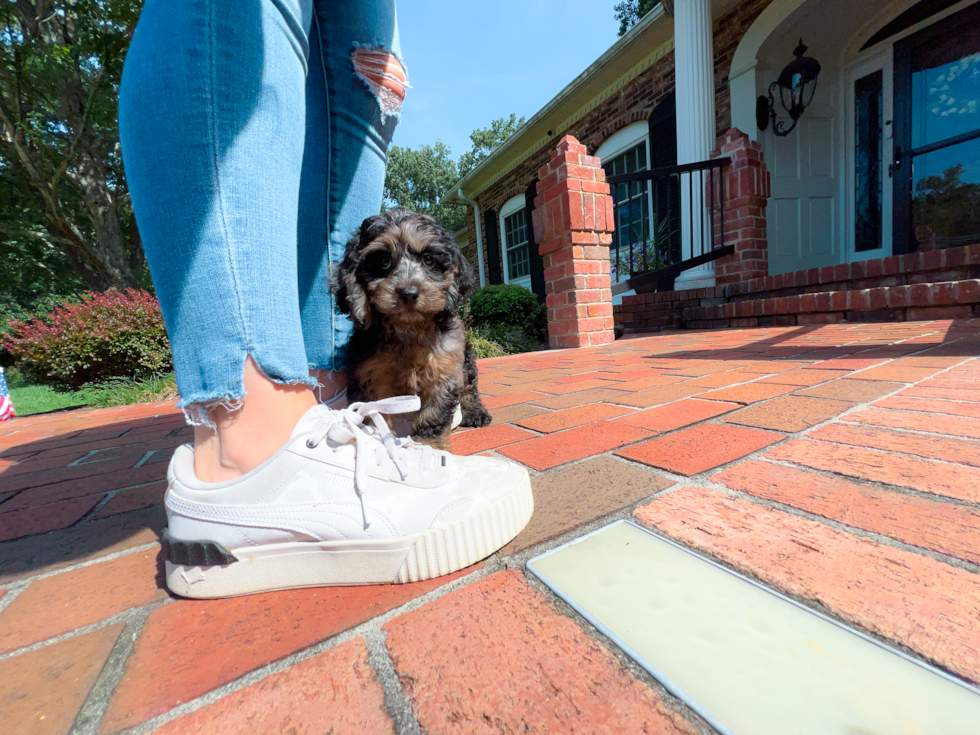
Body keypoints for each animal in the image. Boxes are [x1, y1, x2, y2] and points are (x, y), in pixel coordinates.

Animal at [334, 207, 490, 448]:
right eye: (383, 261)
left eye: (428, 260)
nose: (408, 293)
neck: (408, 328)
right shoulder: (369, 372)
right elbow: (373, 409)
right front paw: (375, 436)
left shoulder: (445, 366)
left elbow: (435, 411)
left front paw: (429, 444)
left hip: (466, 358)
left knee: (469, 387)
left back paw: (475, 412)